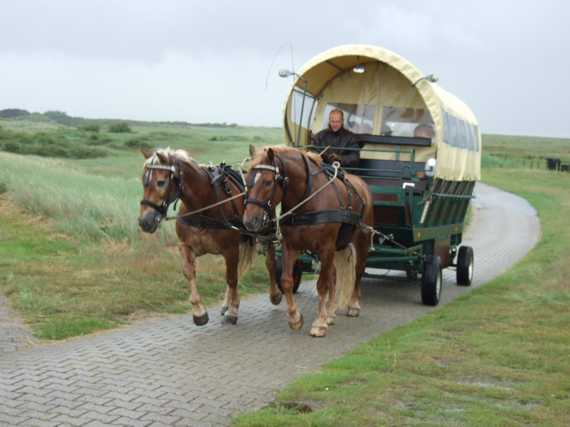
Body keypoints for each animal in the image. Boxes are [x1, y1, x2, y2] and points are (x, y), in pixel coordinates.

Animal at [136, 149, 280, 326]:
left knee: (270, 262)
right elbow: (190, 272)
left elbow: (231, 279)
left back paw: (274, 294)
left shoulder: (230, 249)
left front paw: (233, 309)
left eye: (161, 182)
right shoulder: (187, 246)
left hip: (266, 232)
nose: (145, 221)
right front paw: (199, 311)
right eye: (144, 181)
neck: (204, 206)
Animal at [243, 147, 372, 338]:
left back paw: (353, 305)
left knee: (358, 270)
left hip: (361, 241)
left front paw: (319, 323)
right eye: (247, 181)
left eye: (267, 182)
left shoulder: (326, 248)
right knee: (333, 276)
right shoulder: (291, 247)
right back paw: (330, 311)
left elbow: (321, 285)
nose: (249, 221)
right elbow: (287, 281)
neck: (308, 199)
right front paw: (295, 318)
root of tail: (362, 185)